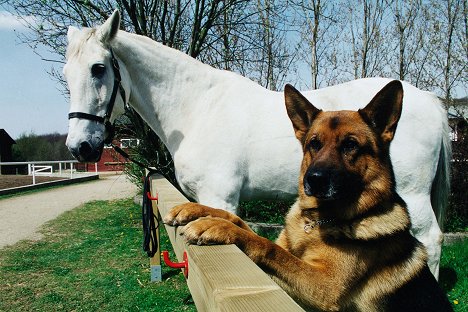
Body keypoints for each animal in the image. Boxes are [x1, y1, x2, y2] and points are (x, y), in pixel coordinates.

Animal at [65, 10, 450, 278]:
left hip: (412, 195)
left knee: (430, 240)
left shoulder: (219, 196)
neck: (198, 107)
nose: (80, 147)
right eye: (68, 74)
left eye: (98, 68)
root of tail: (430, 101)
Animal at [165, 81, 454, 312]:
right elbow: (236, 219)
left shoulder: (324, 287)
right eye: (314, 143)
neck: (318, 221)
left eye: (350, 145)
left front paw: (216, 228)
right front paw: (197, 212)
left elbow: (264, 243)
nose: (313, 180)